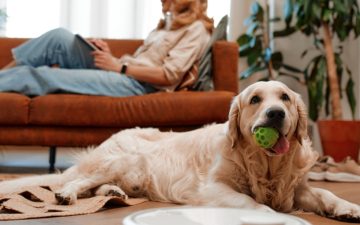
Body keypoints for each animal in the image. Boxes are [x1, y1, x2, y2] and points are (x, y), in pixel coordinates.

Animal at [0, 80, 358, 221]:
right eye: (256, 99)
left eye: (284, 97)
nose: (276, 114)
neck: (265, 165)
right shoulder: (212, 189)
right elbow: (250, 202)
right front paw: (270, 216)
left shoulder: (294, 186)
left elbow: (324, 194)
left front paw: (347, 207)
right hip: (123, 159)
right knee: (77, 181)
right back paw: (67, 195)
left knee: (99, 186)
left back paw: (113, 192)